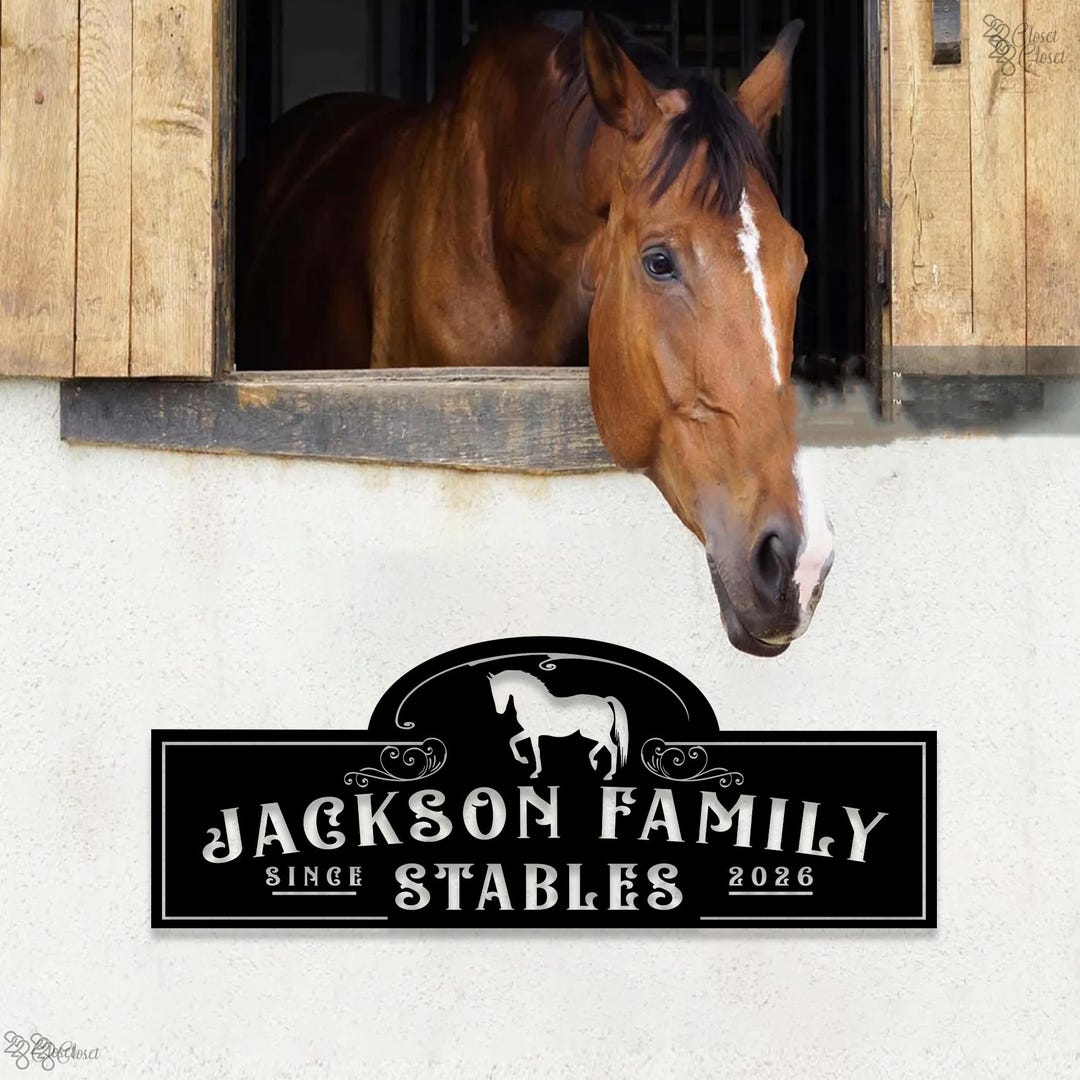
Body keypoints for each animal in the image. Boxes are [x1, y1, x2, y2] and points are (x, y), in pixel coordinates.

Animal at [487, 670, 628, 780]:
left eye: (498, 690)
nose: (499, 711)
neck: (532, 703)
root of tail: (605, 700)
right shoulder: (530, 732)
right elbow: (513, 740)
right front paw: (524, 760)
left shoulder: (532, 732)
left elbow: (534, 749)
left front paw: (534, 772)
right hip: (588, 732)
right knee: (605, 744)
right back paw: (594, 762)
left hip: (592, 731)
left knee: (612, 747)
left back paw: (608, 774)